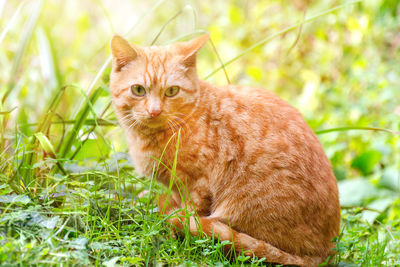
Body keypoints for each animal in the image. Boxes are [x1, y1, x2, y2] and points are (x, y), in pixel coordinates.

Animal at [110, 34, 340, 266]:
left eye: (172, 91)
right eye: (138, 90)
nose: (154, 111)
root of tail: (324, 253)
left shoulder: (199, 183)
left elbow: (190, 212)